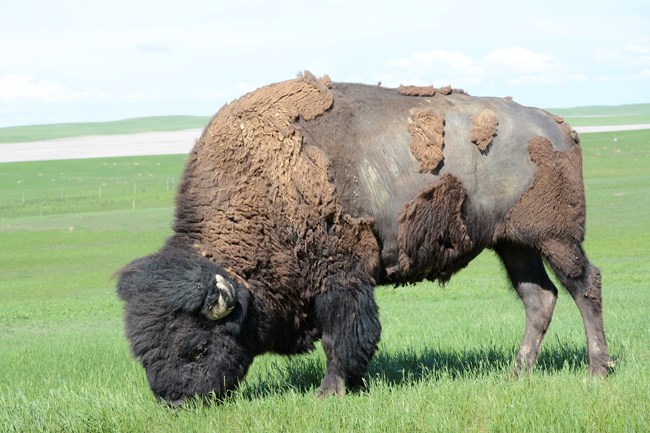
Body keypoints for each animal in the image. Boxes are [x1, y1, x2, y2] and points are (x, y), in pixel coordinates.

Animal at [117, 71, 612, 404]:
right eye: (142, 353)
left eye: (197, 348)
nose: (175, 402)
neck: (265, 181)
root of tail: (558, 126)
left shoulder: (340, 277)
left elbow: (344, 335)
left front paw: (330, 391)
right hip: (513, 244)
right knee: (539, 298)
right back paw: (516, 373)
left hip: (555, 238)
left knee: (584, 286)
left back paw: (597, 371)